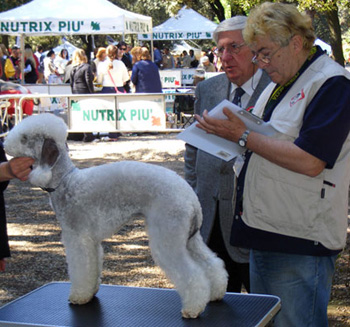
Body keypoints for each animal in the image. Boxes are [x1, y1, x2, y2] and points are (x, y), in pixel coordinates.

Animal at [4, 114, 227, 320]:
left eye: (24, 138)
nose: (4, 142)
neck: (66, 182)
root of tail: (190, 196)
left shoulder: (77, 238)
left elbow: (80, 269)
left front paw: (79, 296)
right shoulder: (91, 241)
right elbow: (93, 268)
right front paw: (91, 292)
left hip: (168, 232)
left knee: (192, 273)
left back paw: (193, 308)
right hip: (190, 236)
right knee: (211, 263)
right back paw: (216, 293)